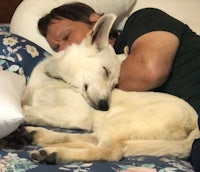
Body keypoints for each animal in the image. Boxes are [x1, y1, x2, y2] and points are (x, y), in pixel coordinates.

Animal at [21, 13, 199, 164]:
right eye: (106, 71)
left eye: (115, 84)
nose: (104, 106)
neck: (56, 79)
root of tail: (194, 124)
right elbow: (30, 105)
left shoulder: (78, 113)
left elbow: (30, 110)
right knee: (92, 140)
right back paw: (35, 136)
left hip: (122, 121)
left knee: (109, 151)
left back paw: (55, 153)